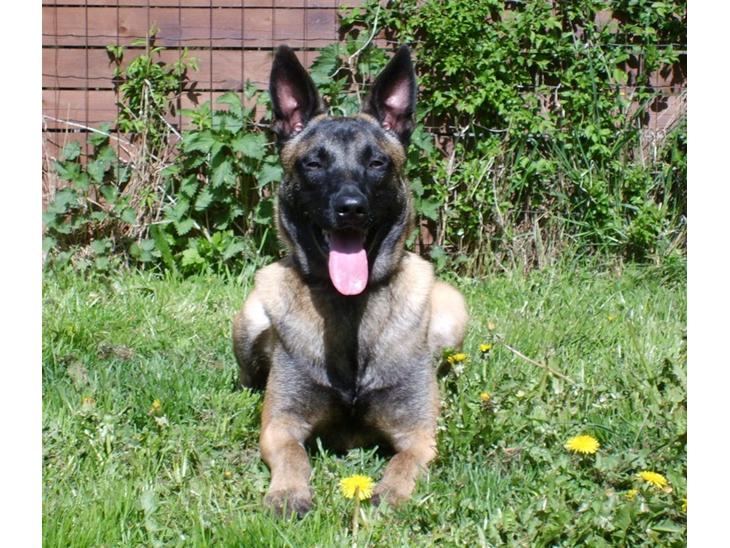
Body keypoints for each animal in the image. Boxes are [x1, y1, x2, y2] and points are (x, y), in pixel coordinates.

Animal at [232, 45, 468, 516]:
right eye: (314, 163)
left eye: (376, 162)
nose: (351, 208)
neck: (349, 309)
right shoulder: (281, 425)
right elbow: (293, 455)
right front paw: (288, 492)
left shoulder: (420, 435)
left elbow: (403, 463)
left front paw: (390, 495)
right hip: (250, 318)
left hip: (453, 317)